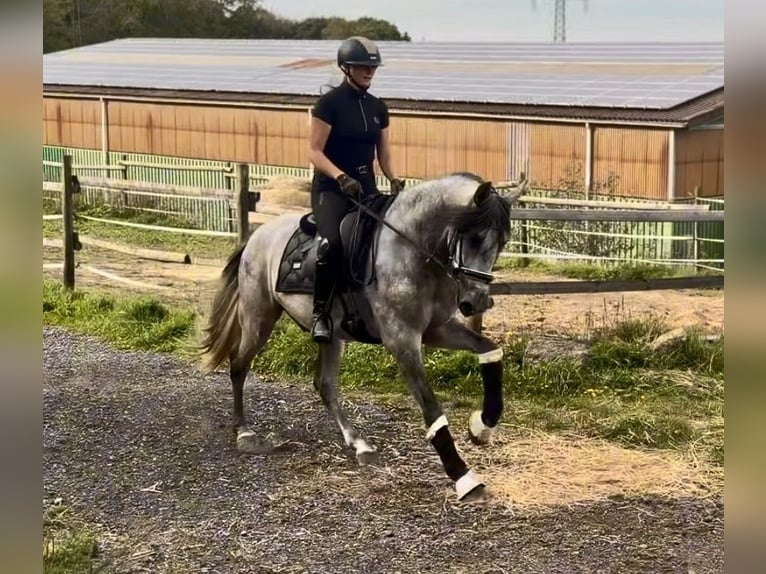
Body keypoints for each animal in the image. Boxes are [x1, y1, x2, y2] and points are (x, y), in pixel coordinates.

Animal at [200, 172, 528, 502]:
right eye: (474, 237)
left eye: (502, 242)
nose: (477, 302)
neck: (411, 249)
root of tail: (256, 237)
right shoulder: (401, 338)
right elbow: (432, 409)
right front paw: (463, 477)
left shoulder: (436, 329)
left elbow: (490, 350)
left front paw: (482, 426)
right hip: (259, 317)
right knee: (239, 365)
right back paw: (244, 432)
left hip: (331, 336)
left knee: (325, 386)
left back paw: (360, 445)